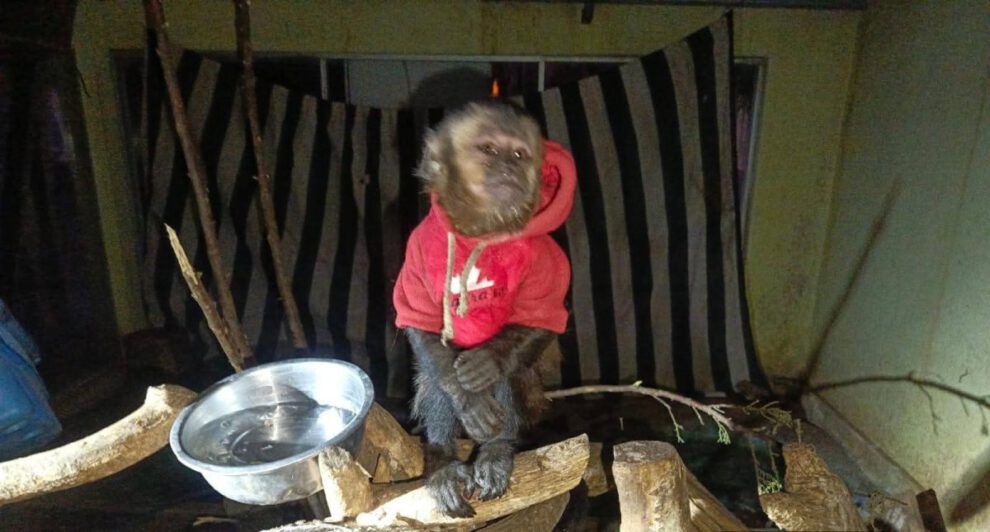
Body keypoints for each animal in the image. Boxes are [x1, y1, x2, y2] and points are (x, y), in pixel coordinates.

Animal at [393, 100, 577, 517]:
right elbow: (420, 324)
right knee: (435, 377)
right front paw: (465, 400)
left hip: (535, 399)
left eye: (519, 154)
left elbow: (541, 320)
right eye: (490, 149)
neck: (481, 230)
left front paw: (488, 361)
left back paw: (496, 450)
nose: (509, 167)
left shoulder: (545, 253)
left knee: (512, 374)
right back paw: (444, 461)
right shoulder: (417, 246)